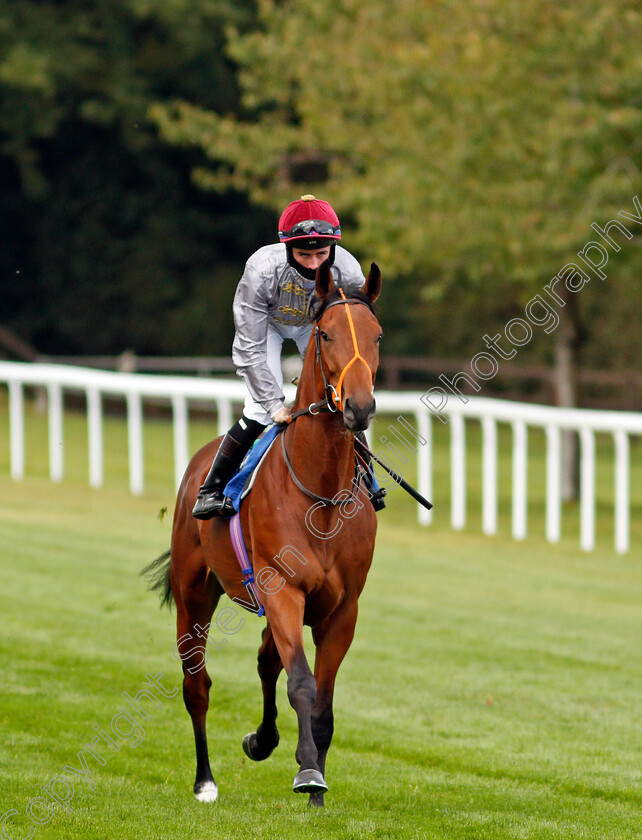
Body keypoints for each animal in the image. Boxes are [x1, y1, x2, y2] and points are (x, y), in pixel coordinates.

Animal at [146, 260, 380, 808]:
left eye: (377, 336)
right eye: (326, 334)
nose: (359, 408)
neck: (321, 492)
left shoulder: (342, 609)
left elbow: (322, 702)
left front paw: (314, 788)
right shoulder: (282, 589)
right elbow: (302, 685)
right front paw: (308, 774)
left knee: (264, 659)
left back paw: (263, 740)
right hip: (194, 594)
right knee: (197, 685)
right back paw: (205, 780)